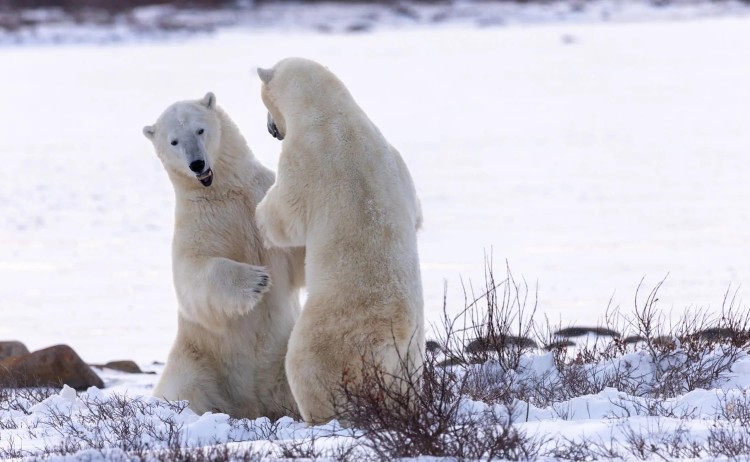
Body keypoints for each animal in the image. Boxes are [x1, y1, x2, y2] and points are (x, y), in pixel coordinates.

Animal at [143, 92, 305, 419]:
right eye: (173, 141)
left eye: (200, 130)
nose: (197, 164)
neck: (222, 189)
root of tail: (253, 406)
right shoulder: (200, 221)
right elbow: (193, 274)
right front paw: (256, 281)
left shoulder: (260, 198)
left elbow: (293, 249)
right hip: (196, 360)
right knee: (183, 391)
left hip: (282, 354)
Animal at [255, 58, 424, 425]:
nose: (271, 128)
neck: (331, 111)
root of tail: (389, 346)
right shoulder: (396, 161)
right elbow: (417, 213)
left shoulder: (305, 158)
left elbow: (284, 218)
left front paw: (260, 212)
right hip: (412, 356)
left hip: (331, 332)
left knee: (305, 363)